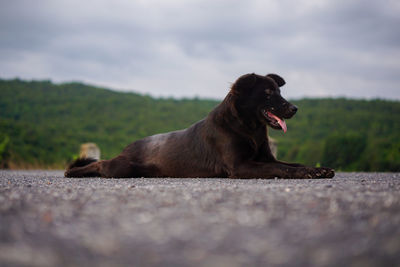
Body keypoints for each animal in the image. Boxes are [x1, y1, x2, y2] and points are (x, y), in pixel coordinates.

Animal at [65, 72, 334, 179]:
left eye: (279, 92)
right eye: (268, 94)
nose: (294, 109)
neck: (248, 128)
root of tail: (128, 147)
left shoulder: (265, 158)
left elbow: (291, 164)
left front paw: (317, 169)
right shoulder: (241, 166)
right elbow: (282, 168)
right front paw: (309, 173)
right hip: (121, 168)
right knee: (100, 164)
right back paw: (73, 172)